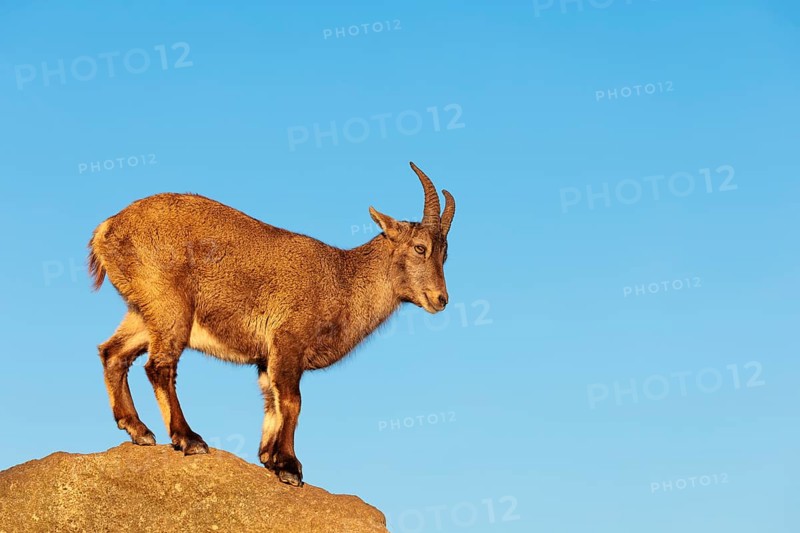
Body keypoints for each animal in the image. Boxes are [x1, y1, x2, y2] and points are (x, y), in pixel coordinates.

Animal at [88, 162, 455, 486]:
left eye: (445, 254)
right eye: (420, 247)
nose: (441, 299)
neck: (343, 280)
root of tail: (107, 228)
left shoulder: (266, 359)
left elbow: (271, 401)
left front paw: (269, 457)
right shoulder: (288, 340)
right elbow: (292, 402)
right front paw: (290, 467)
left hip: (143, 310)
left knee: (113, 352)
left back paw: (137, 428)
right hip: (170, 306)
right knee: (159, 366)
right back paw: (188, 438)